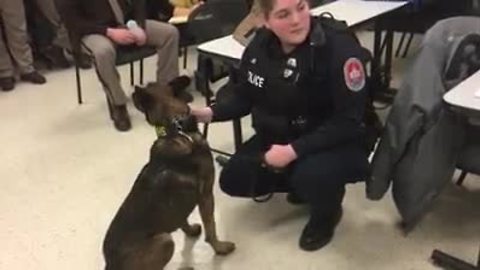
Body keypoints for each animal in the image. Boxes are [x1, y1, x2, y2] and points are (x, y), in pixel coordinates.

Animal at [102, 76, 234, 270]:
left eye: (150, 84)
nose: (133, 91)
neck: (175, 128)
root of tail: (111, 264)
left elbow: (182, 220)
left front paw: (190, 230)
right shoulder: (206, 195)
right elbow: (211, 228)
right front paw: (220, 248)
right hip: (165, 241)